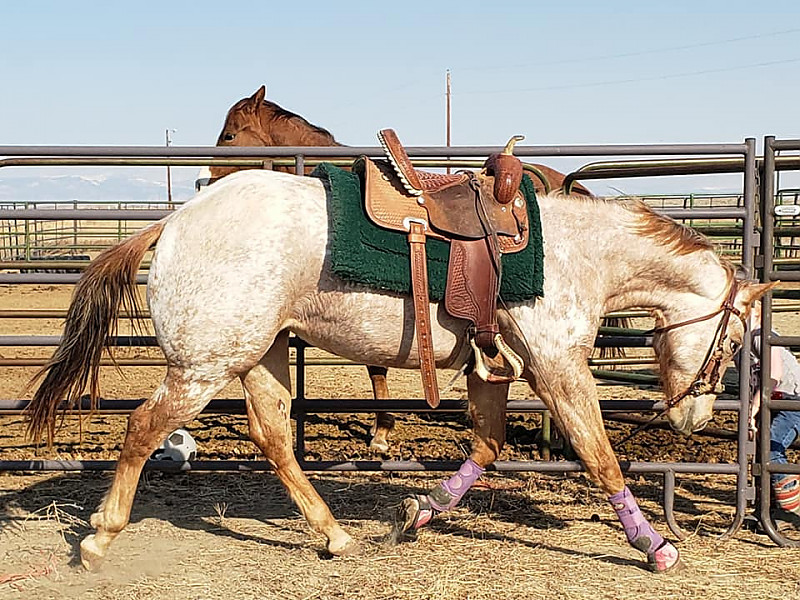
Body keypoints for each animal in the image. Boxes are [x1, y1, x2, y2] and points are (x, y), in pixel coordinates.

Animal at [26, 168, 772, 573]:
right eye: (736, 341)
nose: (694, 416)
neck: (575, 254)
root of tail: (175, 222)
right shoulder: (556, 365)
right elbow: (599, 454)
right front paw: (654, 545)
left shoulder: (491, 371)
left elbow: (487, 447)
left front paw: (420, 511)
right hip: (205, 364)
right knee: (143, 429)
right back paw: (98, 540)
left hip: (261, 355)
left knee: (274, 439)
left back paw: (335, 535)